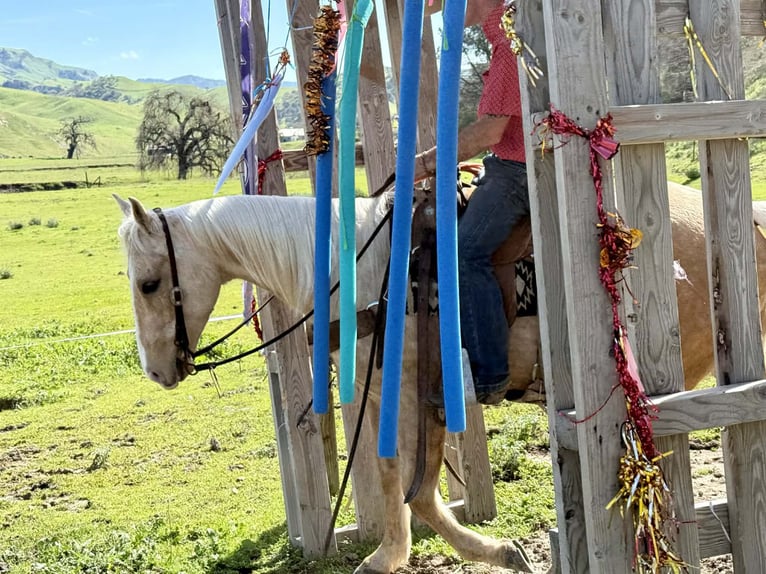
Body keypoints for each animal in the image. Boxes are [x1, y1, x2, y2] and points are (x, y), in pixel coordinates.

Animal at [115, 182, 766, 574]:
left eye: (148, 283)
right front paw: (417, 552)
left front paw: (474, 552)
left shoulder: (407, 394)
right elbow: (406, 483)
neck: (360, 275)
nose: (157, 370)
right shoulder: (396, 395)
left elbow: (411, 487)